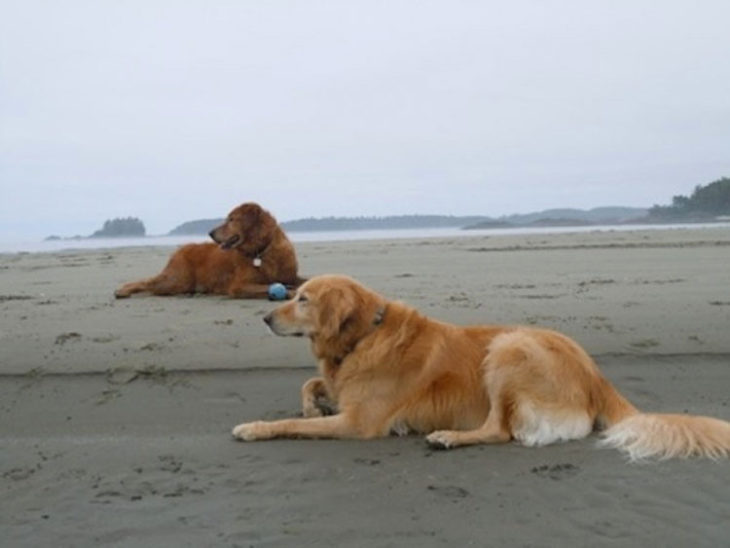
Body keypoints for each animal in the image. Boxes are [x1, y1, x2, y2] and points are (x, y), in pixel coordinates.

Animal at [232, 276, 728, 460]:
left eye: (303, 299)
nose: (264, 317)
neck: (363, 337)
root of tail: (595, 374)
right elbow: (311, 382)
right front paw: (311, 403)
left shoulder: (359, 422)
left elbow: (289, 425)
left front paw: (255, 428)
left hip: (508, 348)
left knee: (501, 430)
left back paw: (449, 437)